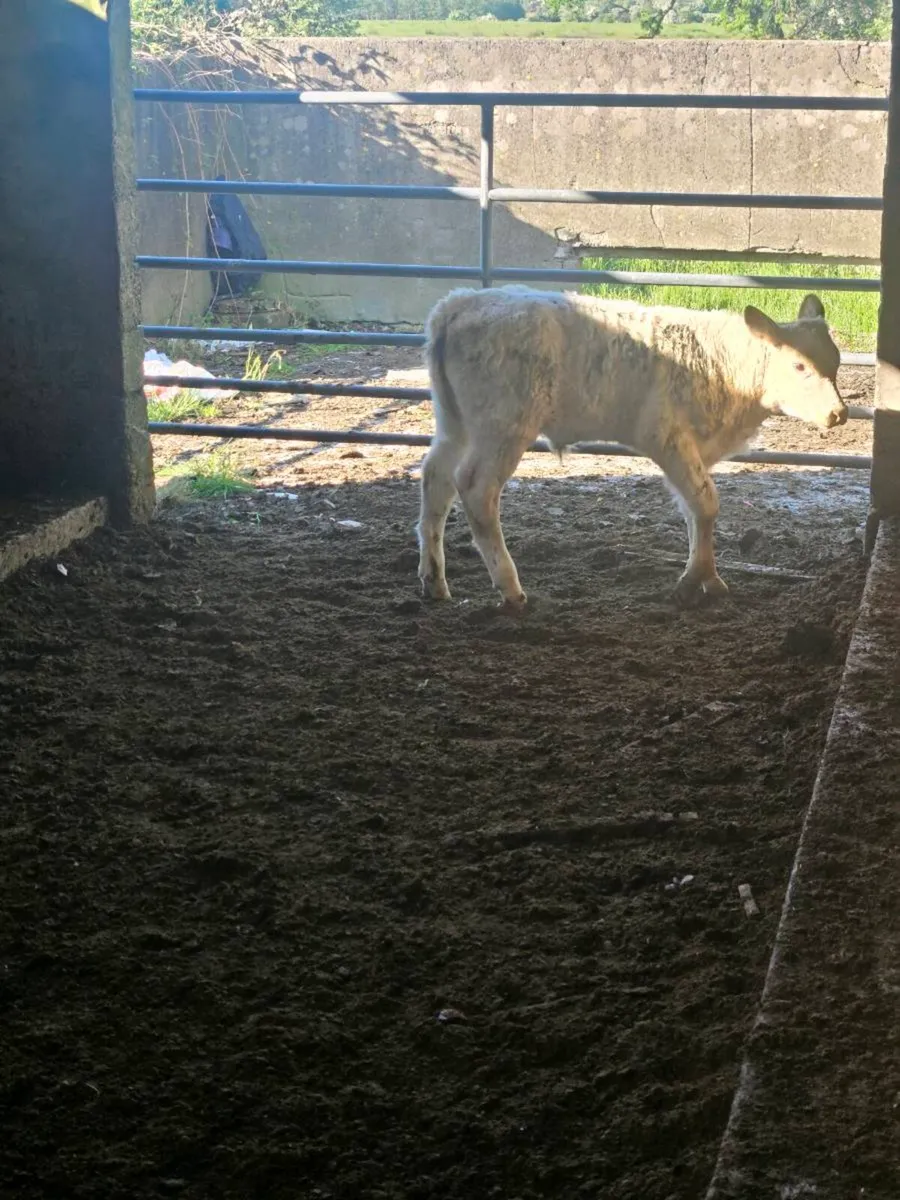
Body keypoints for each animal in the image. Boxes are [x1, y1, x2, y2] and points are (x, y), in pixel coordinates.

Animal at [415, 285, 846, 608]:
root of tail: (459, 303)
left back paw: (434, 579)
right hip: (503, 427)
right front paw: (692, 581)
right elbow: (707, 504)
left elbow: (694, 511)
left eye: (837, 362)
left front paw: (709, 578)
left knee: (436, 479)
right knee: (476, 489)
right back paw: (510, 588)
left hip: (455, 423)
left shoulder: (695, 450)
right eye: (799, 366)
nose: (839, 413)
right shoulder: (668, 438)